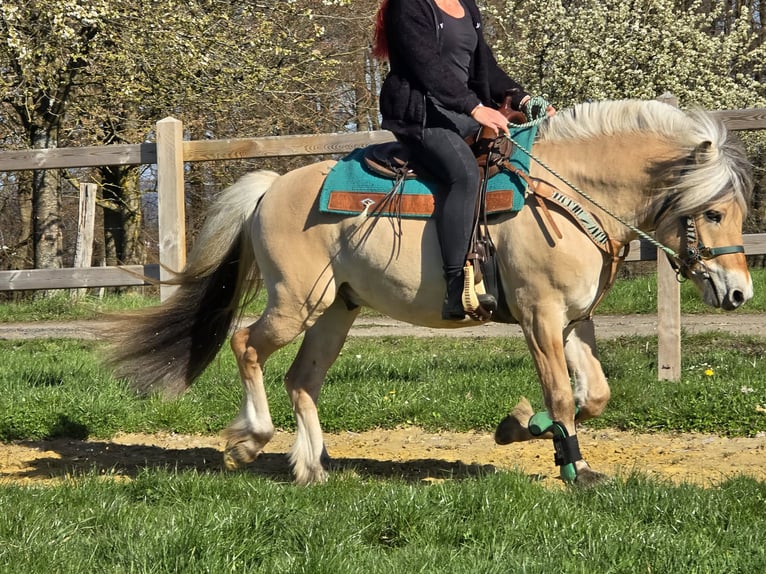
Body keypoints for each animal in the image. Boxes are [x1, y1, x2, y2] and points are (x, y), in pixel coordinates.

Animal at [107, 99, 753, 485]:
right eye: (713, 213)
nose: (740, 294)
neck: (567, 195)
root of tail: (271, 188)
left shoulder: (573, 321)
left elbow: (593, 394)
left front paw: (525, 427)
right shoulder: (539, 316)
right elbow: (566, 398)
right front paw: (568, 465)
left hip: (336, 312)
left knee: (301, 381)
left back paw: (312, 466)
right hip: (296, 304)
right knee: (245, 345)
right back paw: (251, 443)